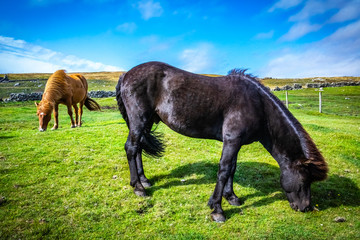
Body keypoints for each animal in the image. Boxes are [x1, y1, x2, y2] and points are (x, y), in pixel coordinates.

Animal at [116, 61, 330, 222]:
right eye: (305, 180)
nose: (306, 208)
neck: (257, 105)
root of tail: (126, 74)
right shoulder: (232, 140)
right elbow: (224, 170)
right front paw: (217, 210)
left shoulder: (236, 142)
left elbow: (232, 168)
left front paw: (232, 197)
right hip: (139, 119)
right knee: (131, 148)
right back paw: (138, 187)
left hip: (145, 122)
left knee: (138, 148)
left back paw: (144, 180)